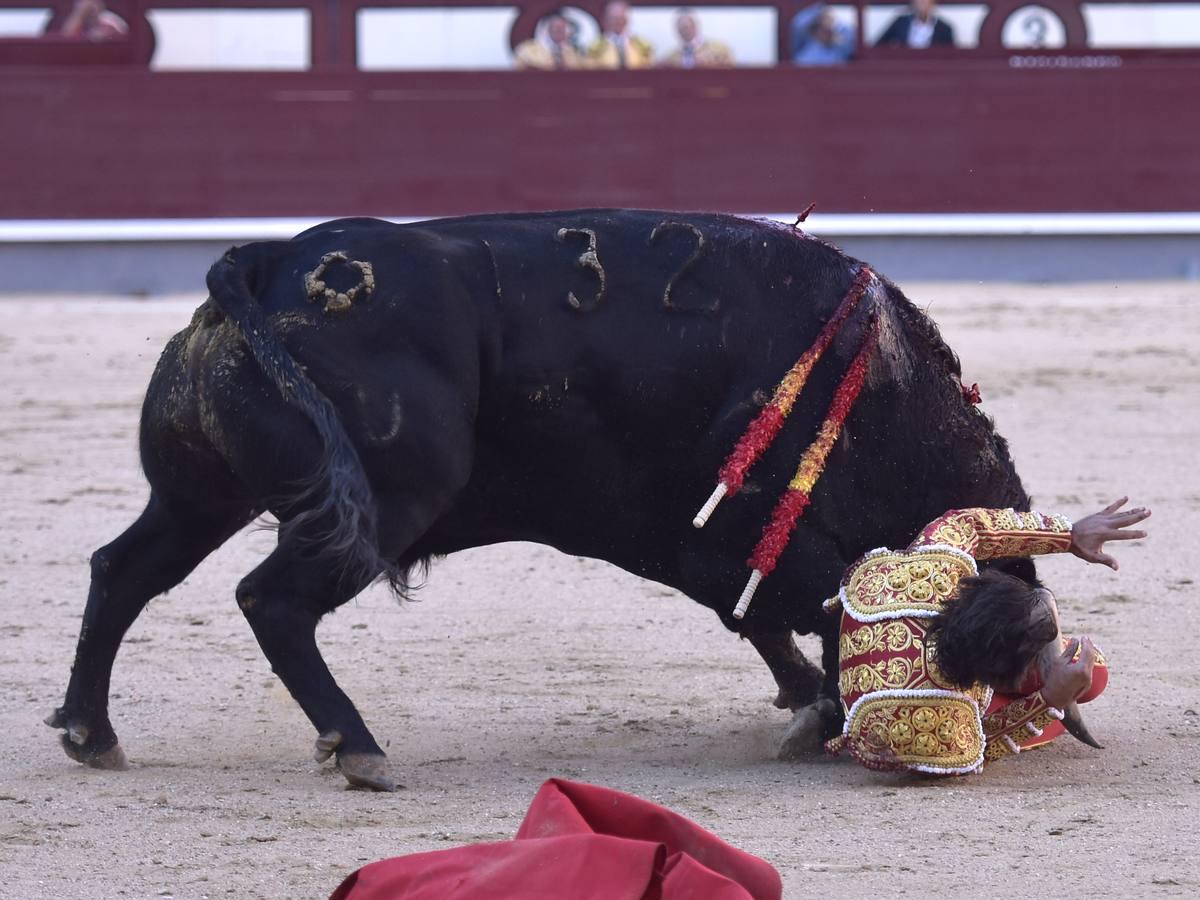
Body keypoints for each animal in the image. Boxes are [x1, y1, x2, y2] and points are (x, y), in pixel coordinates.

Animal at [51, 211, 1036, 787]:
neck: (873, 387)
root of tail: (269, 264)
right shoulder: (731, 530)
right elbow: (817, 599)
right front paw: (822, 708)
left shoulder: (692, 543)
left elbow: (761, 611)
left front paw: (804, 703)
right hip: (390, 500)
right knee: (272, 600)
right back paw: (359, 748)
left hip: (198, 494)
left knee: (122, 571)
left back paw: (91, 734)